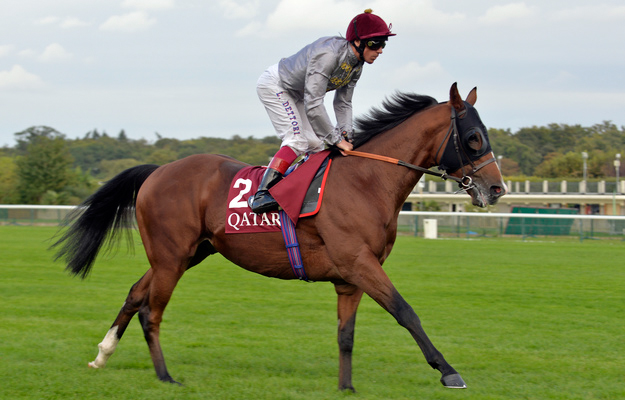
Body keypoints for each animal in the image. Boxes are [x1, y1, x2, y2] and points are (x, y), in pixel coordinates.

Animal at [53, 82, 508, 390]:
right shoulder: (358, 262)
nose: (498, 189)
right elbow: (406, 311)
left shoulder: (351, 276)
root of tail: (158, 171)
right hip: (171, 256)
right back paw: (165, 377)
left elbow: (346, 334)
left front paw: (346, 387)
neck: (366, 180)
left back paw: (103, 354)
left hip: (187, 253)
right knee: (152, 311)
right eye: (473, 137)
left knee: (135, 293)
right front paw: (449, 372)